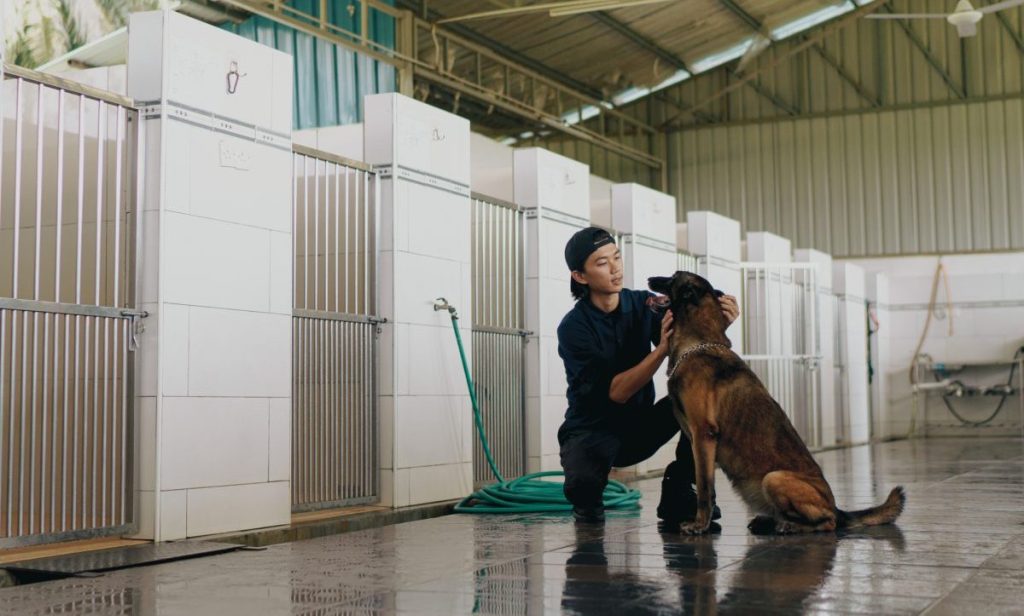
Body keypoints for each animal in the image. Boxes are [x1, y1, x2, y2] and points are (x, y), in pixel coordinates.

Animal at [647, 270, 905, 532]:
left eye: (673, 277)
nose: (649, 279)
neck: (697, 341)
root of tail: (836, 508)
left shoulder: (703, 435)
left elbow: (704, 488)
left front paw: (700, 525)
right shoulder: (694, 438)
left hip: (774, 478)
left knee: (827, 523)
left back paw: (792, 527)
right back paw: (770, 521)